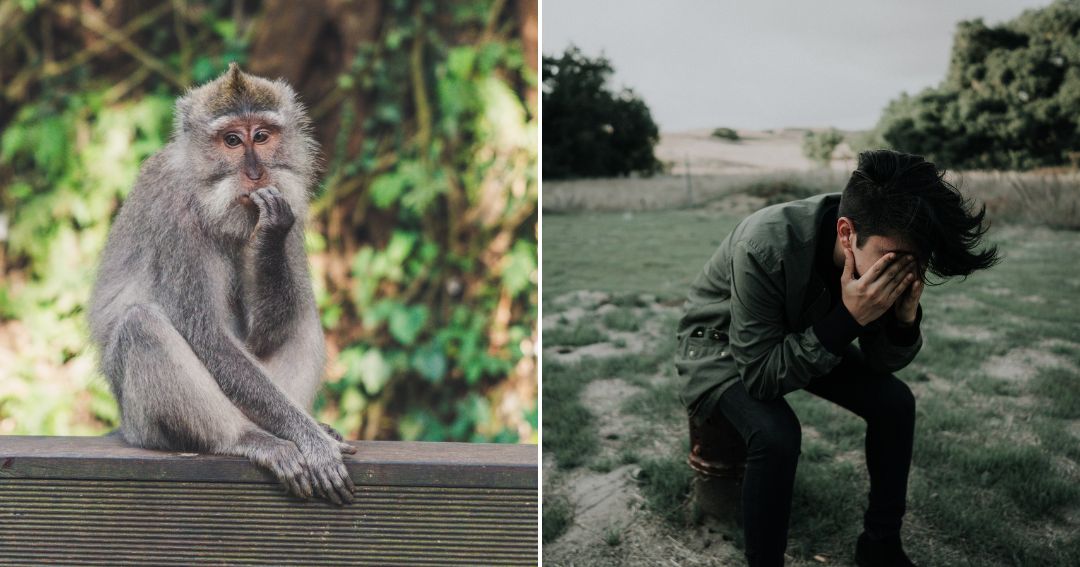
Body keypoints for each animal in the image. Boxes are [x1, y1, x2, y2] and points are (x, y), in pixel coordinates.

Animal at [88, 63, 356, 505]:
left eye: (262, 136)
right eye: (232, 140)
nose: (255, 173)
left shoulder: (293, 207)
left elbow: (263, 333)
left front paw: (269, 233)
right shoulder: (176, 217)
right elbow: (208, 335)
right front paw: (310, 441)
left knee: (302, 315)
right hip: (144, 425)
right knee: (141, 325)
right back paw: (250, 437)